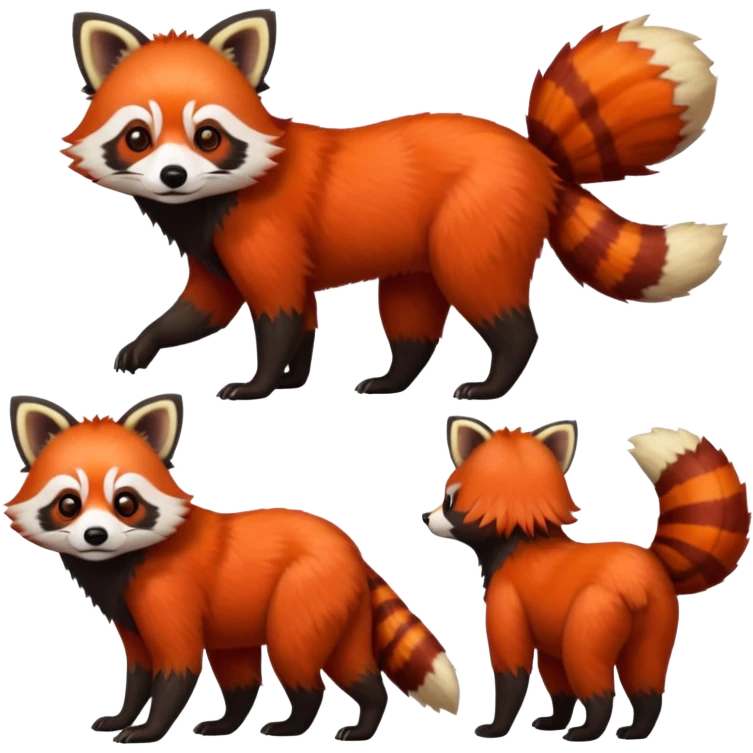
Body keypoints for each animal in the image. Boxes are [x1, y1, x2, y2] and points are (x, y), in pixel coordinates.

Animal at [3, 393, 461, 743]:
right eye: (68, 504)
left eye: (126, 503)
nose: (95, 535)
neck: (119, 566)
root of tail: (351, 548)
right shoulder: (128, 611)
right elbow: (138, 669)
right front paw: (123, 714)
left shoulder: (169, 591)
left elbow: (177, 665)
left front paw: (148, 729)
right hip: (324, 608)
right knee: (323, 668)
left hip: (309, 589)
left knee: (297, 657)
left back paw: (297, 722)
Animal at [60, 10, 727, 401]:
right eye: (138, 137)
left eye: (207, 136)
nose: (173, 176)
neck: (206, 206)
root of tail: (537, 158)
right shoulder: (226, 249)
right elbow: (227, 309)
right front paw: (153, 346)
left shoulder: (265, 230)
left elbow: (275, 315)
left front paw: (258, 383)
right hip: (418, 255)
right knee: (411, 319)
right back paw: (393, 379)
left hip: (478, 221)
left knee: (496, 305)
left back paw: (493, 382)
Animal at [422, 416, 751, 742]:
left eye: (449, 500)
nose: (425, 517)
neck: (519, 540)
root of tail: (648, 567)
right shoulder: (548, 631)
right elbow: (557, 682)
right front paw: (555, 720)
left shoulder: (508, 602)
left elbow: (511, 674)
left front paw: (496, 728)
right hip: (655, 627)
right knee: (645, 682)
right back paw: (636, 730)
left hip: (592, 618)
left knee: (593, 678)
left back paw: (588, 731)